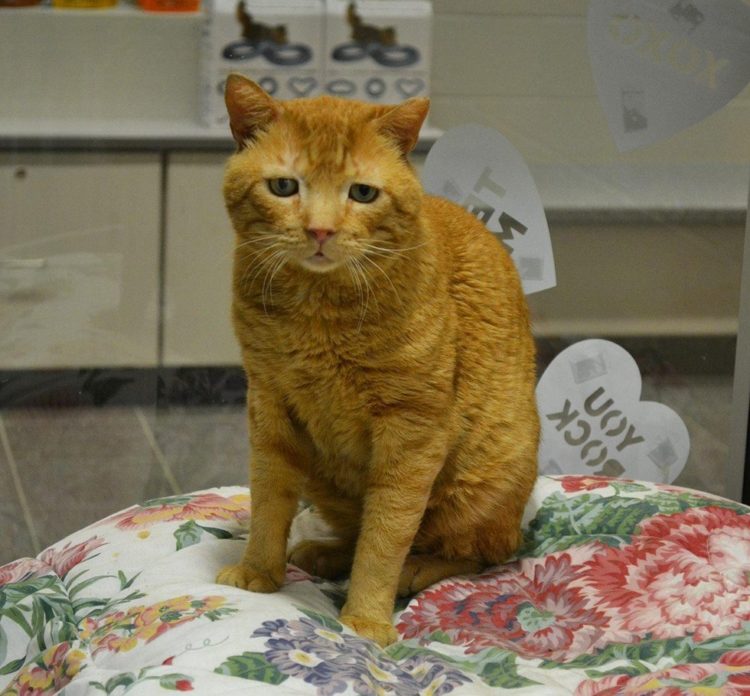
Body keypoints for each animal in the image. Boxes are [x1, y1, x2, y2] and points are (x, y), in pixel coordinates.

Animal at [217, 75, 540, 648]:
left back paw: (416, 568)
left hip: (478, 485)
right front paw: (258, 571)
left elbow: (386, 534)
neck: (318, 312)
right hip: (327, 480)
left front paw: (366, 619)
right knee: (360, 529)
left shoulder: (411, 431)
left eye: (362, 193)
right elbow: (269, 501)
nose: (320, 231)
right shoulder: (269, 405)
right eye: (285, 187)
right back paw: (326, 553)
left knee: (479, 554)